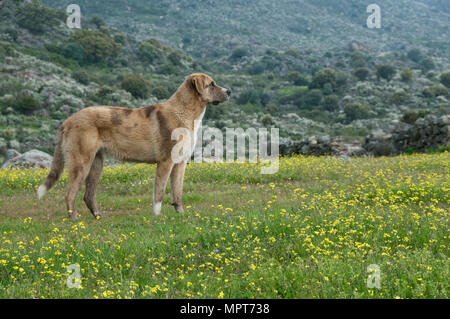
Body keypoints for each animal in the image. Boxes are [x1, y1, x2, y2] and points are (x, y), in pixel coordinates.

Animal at [36, 74, 230, 220]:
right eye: (211, 84)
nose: (229, 91)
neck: (184, 111)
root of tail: (67, 120)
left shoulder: (180, 164)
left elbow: (177, 192)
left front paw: (180, 213)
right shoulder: (165, 162)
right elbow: (159, 192)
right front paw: (157, 216)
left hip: (96, 164)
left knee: (88, 195)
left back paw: (98, 216)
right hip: (81, 162)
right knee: (70, 193)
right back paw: (74, 218)